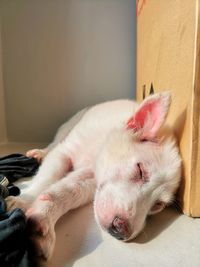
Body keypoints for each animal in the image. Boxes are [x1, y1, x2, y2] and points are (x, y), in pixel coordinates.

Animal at [6, 93, 182, 260]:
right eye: (140, 171)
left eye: (158, 205)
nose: (121, 232)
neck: (97, 149)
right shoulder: (64, 153)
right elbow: (46, 178)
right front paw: (23, 201)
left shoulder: (91, 179)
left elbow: (66, 192)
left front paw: (43, 219)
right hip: (66, 129)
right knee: (54, 144)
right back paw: (40, 153)